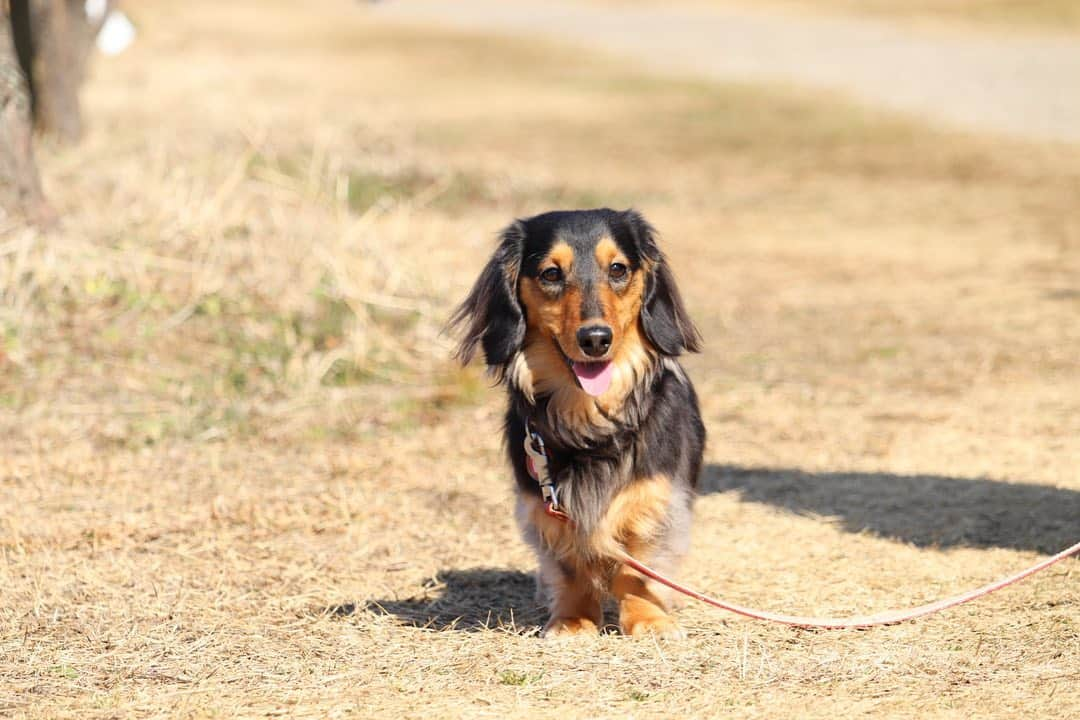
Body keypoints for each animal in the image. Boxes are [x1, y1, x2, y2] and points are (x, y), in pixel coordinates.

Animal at [451, 207, 704, 634]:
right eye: (551, 273)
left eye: (618, 269)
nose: (596, 339)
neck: (590, 421)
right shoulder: (546, 503)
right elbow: (571, 566)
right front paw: (573, 619)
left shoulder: (655, 500)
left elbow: (640, 567)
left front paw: (648, 619)